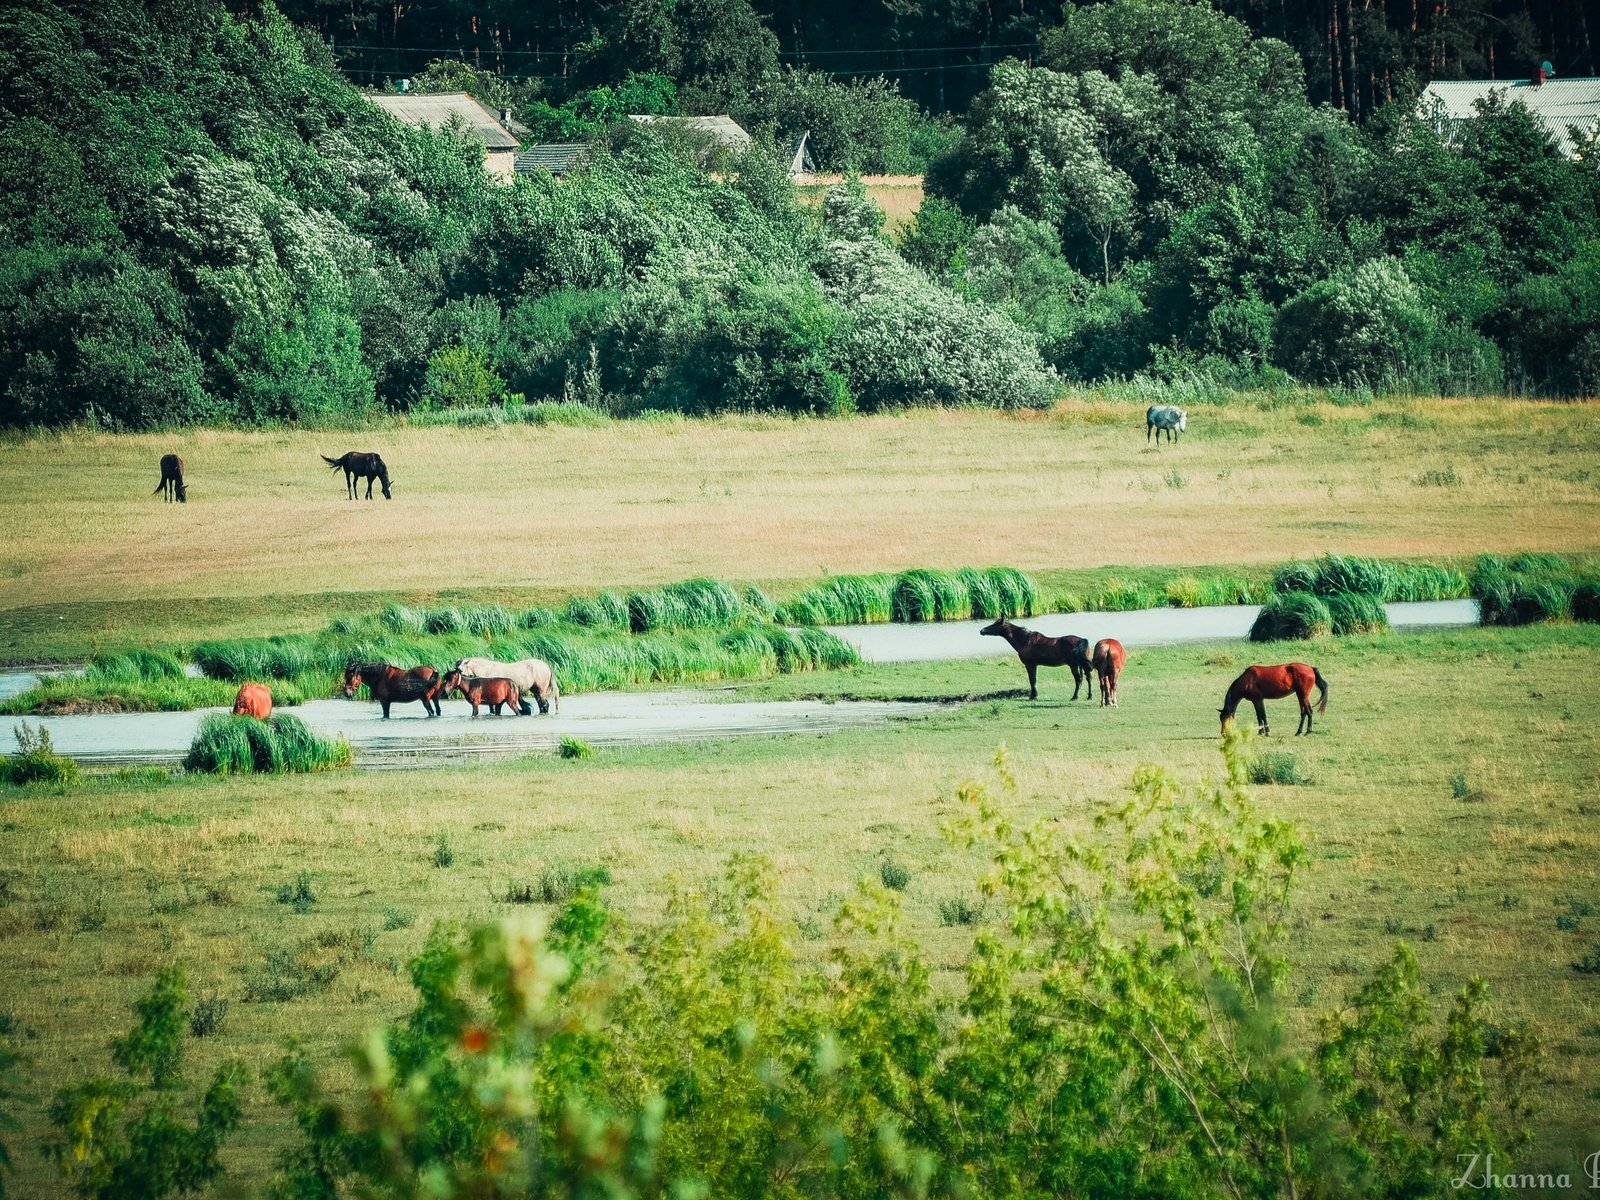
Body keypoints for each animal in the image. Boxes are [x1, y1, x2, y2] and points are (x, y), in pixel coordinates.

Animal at [972, 614, 1100, 700]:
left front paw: (1033, 696)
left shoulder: (1030, 664)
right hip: (1082, 665)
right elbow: (1034, 679)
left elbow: (1032, 680)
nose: (982, 631)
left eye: (995, 624)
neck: (1025, 641)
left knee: (1078, 679)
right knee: (1088, 678)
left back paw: (1074, 697)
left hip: (1073, 665)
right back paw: (1089, 696)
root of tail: (1082, 640)